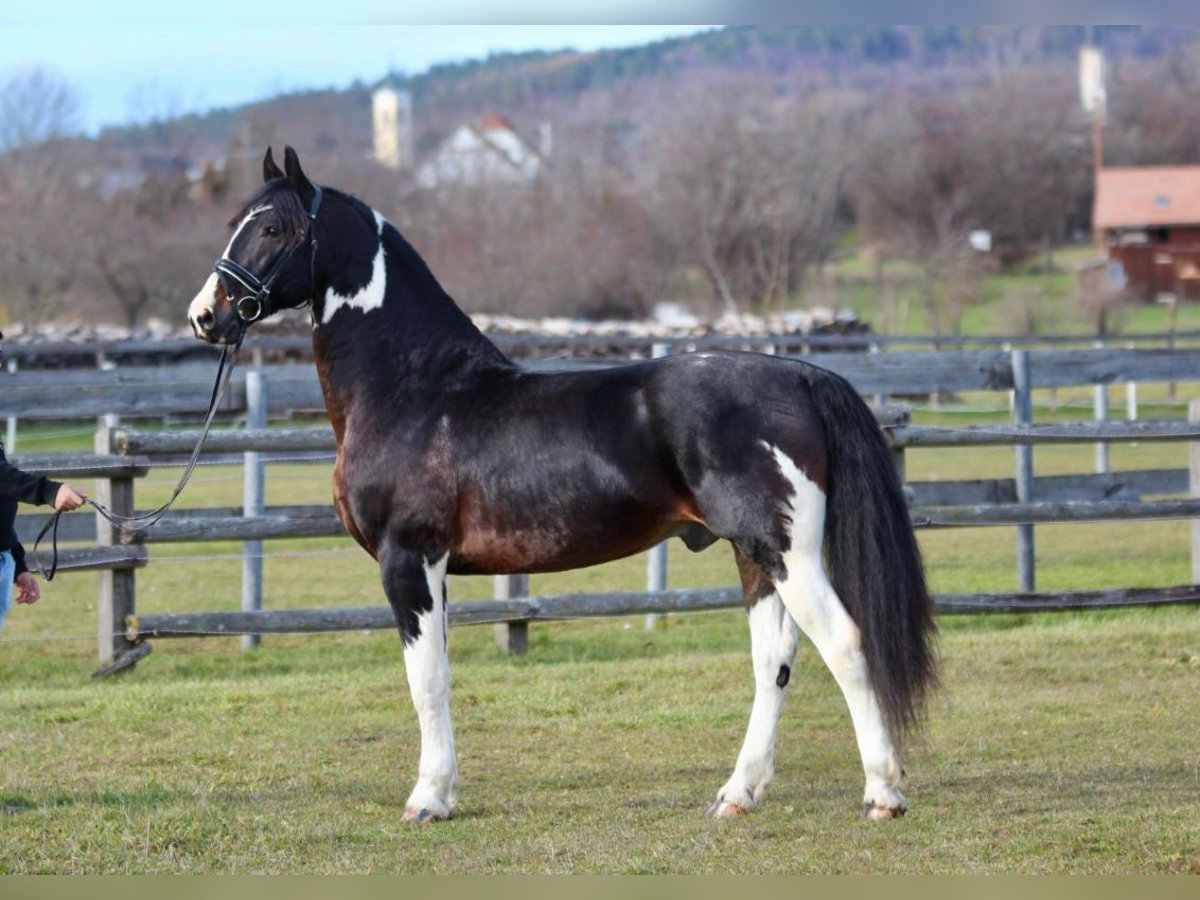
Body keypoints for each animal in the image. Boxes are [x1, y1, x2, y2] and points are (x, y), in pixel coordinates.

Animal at [187, 146, 936, 825]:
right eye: (233, 222)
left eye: (273, 228)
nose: (205, 316)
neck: (415, 388)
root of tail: (801, 375)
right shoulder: (435, 569)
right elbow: (439, 674)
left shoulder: (409, 558)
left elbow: (425, 682)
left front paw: (428, 799)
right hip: (756, 555)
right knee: (773, 660)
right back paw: (737, 794)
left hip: (788, 554)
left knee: (845, 644)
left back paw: (883, 793)